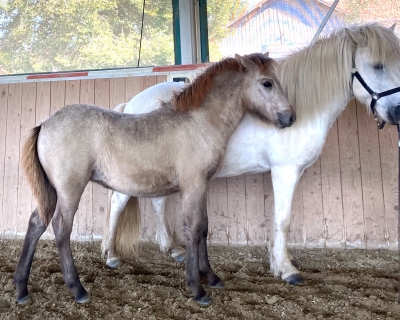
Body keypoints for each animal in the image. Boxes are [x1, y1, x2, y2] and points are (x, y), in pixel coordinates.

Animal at [14, 52, 294, 304]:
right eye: (267, 83)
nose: (289, 117)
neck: (198, 123)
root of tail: (45, 124)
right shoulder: (192, 186)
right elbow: (193, 229)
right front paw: (198, 289)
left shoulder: (202, 186)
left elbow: (203, 228)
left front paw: (212, 277)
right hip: (70, 188)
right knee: (61, 227)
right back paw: (78, 290)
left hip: (52, 191)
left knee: (36, 223)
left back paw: (21, 289)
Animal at [105, 23, 400, 286]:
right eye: (377, 65)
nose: (397, 112)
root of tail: (130, 105)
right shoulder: (285, 171)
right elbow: (283, 219)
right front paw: (287, 270)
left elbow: (278, 219)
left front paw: (279, 260)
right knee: (118, 202)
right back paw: (110, 255)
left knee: (157, 202)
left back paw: (172, 249)